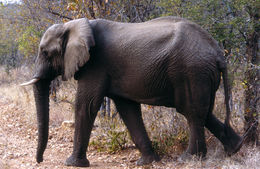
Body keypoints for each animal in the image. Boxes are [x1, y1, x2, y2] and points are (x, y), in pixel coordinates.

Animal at [20, 16, 246, 167]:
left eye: (46, 52)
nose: (39, 160)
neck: (75, 25)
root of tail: (218, 53)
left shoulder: (95, 64)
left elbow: (87, 105)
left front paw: (73, 164)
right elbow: (128, 110)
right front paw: (147, 162)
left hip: (192, 71)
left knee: (192, 112)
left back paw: (189, 158)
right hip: (201, 74)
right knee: (203, 111)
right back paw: (235, 148)